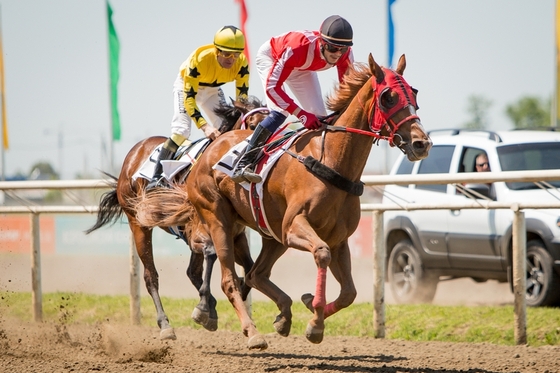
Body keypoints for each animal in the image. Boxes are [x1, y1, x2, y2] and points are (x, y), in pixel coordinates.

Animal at [86, 96, 270, 340]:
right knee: (150, 275)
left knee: (192, 271)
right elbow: (212, 255)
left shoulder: (236, 236)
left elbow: (248, 271)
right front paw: (204, 308)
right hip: (139, 224)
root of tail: (133, 154)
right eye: (252, 125)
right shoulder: (198, 232)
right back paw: (166, 325)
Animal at [138, 53, 430, 348]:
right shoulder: (294, 228)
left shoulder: (339, 239)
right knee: (229, 278)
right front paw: (315, 321)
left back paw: (282, 315)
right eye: (388, 97)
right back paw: (250, 331)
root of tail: (207, 151)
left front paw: (311, 306)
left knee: (255, 273)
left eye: (414, 93)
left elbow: (349, 292)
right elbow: (321, 254)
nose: (421, 143)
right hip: (218, 218)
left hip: (268, 232)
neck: (331, 162)